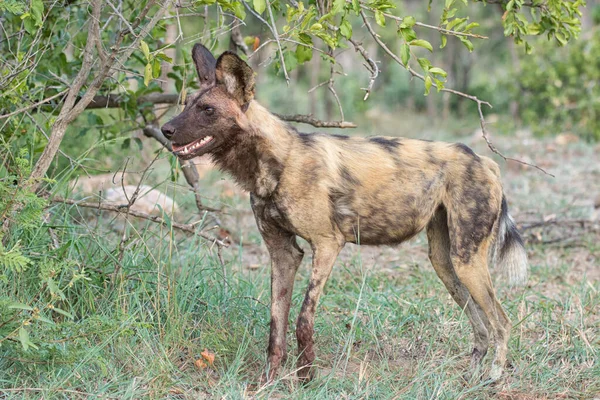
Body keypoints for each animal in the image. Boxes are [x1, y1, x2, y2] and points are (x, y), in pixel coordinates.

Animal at [162, 43, 528, 382]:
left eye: (207, 110)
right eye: (187, 105)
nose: (165, 130)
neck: (277, 161)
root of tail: (484, 160)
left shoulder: (327, 244)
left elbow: (303, 320)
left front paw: (306, 378)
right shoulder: (282, 252)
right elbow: (276, 324)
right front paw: (269, 380)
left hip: (467, 261)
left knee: (502, 322)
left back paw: (494, 375)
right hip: (445, 262)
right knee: (481, 325)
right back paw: (472, 375)